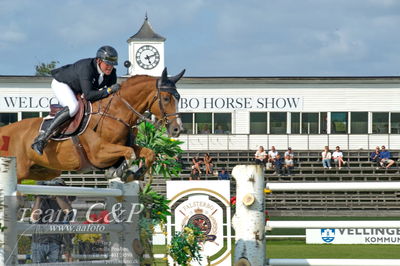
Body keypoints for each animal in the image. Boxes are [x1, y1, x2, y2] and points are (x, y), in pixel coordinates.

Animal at [0, 68, 184, 183]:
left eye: (179, 98)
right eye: (166, 98)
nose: (178, 129)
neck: (117, 113)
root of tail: (5, 129)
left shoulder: (127, 145)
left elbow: (149, 153)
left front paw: (133, 174)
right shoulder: (98, 154)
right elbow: (129, 153)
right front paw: (118, 171)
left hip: (45, 170)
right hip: (18, 169)